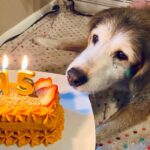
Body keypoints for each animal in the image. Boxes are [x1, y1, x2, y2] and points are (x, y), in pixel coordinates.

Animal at [34, 6, 150, 141]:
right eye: (95, 38)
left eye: (121, 55)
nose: (72, 77)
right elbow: (70, 42)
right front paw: (44, 41)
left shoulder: (141, 103)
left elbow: (105, 128)